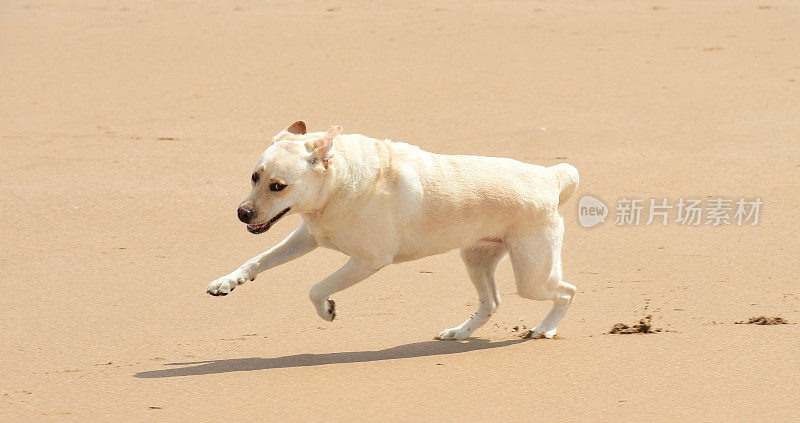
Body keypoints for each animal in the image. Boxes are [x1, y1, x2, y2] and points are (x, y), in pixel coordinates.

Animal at [209, 121, 580, 340]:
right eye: (254, 177)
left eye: (278, 186)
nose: (242, 214)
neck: (339, 183)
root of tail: (550, 177)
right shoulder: (308, 236)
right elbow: (257, 260)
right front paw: (226, 282)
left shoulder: (367, 261)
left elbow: (316, 288)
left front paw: (327, 310)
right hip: (477, 260)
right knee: (492, 303)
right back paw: (458, 333)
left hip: (532, 277)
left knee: (567, 291)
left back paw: (544, 329)